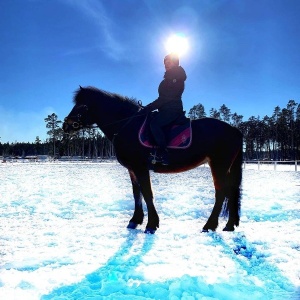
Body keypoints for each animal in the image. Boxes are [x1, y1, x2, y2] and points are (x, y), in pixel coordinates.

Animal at [63, 85, 244, 233]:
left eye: (83, 106)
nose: (66, 125)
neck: (127, 125)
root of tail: (233, 129)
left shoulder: (141, 168)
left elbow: (147, 193)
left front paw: (151, 225)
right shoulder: (132, 169)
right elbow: (137, 194)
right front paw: (135, 221)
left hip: (219, 165)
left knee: (221, 193)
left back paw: (209, 225)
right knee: (230, 192)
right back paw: (229, 225)